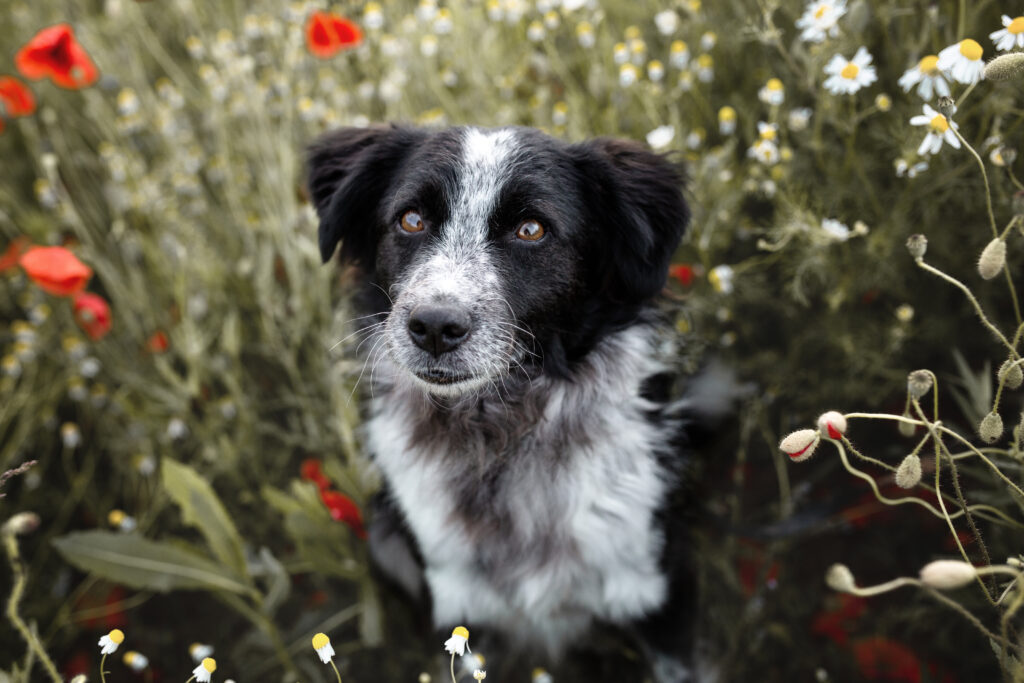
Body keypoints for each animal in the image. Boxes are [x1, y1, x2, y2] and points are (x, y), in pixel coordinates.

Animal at [307, 125, 716, 679]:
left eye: (531, 229)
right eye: (411, 219)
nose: (434, 327)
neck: (499, 439)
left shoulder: (655, 588)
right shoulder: (460, 609)